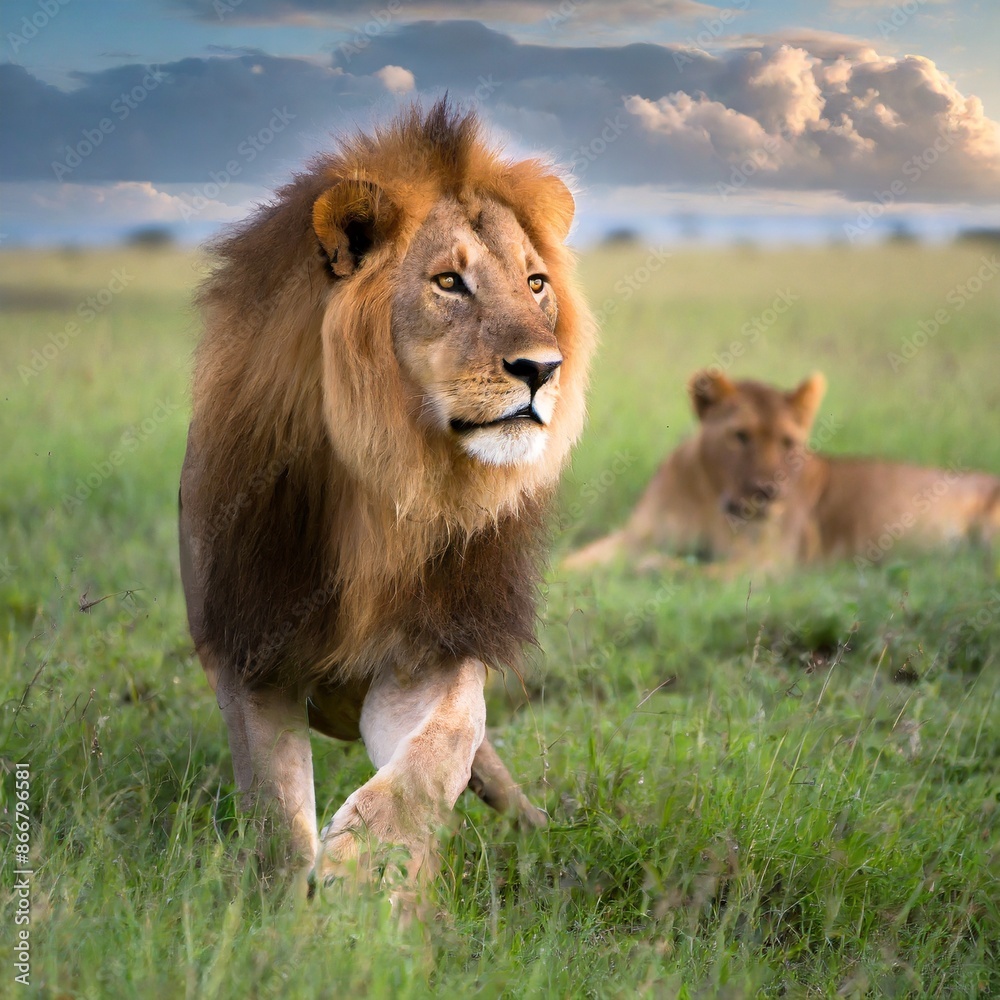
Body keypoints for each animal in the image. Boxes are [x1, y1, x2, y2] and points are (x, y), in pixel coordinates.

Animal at [179, 101, 594, 903]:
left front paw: (364, 874)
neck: (389, 473)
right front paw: (295, 910)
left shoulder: (431, 649)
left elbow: (438, 752)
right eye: (448, 282)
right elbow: (275, 811)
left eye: (534, 282)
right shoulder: (251, 652)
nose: (543, 368)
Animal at [564, 370, 1000, 572]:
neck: (710, 497)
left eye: (789, 442)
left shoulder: (767, 562)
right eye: (740, 436)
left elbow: (699, 573)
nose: (767, 493)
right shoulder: (636, 535)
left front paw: (651, 567)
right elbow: (580, 559)